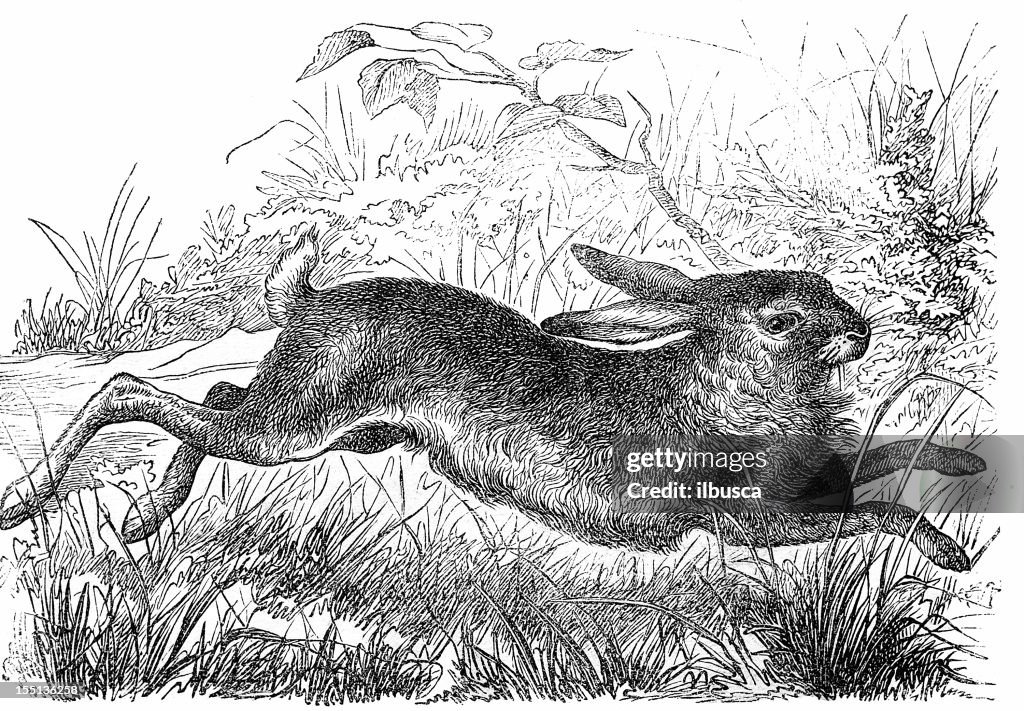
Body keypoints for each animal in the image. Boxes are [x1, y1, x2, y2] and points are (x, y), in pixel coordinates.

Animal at [0, 230, 985, 570]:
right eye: (784, 319)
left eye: (827, 285)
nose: (862, 331)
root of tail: (310, 299)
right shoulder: (748, 521)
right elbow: (878, 513)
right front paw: (950, 552)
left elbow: (887, 461)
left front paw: (966, 459)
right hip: (300, 426)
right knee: (131, 387)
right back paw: (27, 502)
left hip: (335, 425)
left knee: (212, 395)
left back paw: (143, 518)